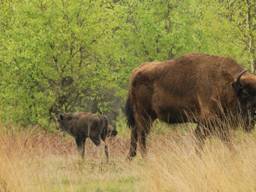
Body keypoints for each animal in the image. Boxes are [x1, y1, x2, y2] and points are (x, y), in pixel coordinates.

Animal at [125, 53, 256, 159]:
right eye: (245, 93)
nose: (253, 116)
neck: (227, 84)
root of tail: (137, 71)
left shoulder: (214, 122)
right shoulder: (209, 120)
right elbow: (213, 138)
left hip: (145, 117)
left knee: (135, 134)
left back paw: (131, 157)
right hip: (144, 116)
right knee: (141, 136)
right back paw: (145, 159)